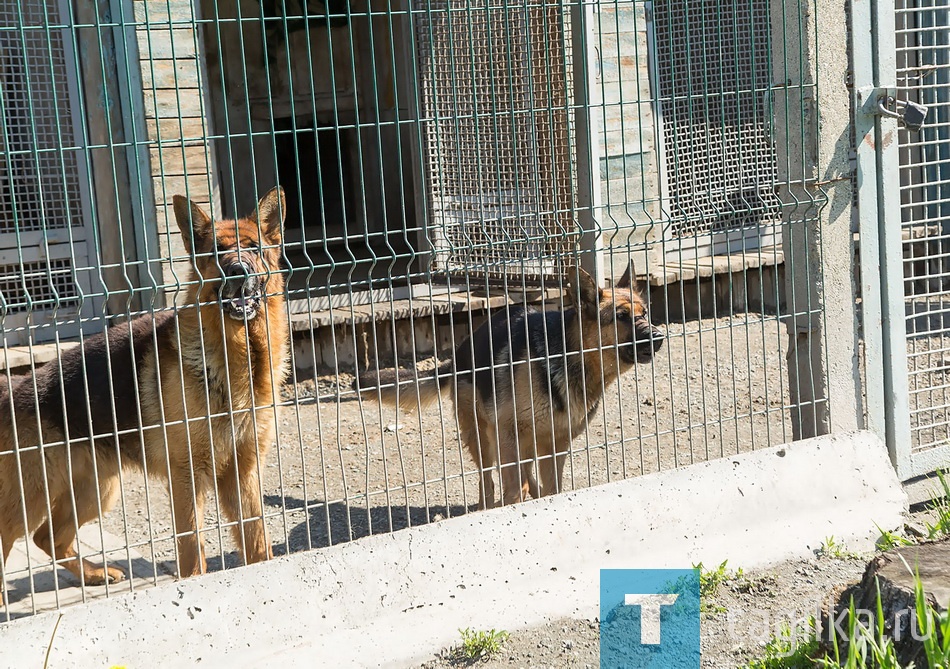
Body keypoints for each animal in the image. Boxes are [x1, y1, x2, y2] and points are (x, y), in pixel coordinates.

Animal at [0, 187, 290, 584]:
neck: (236, 356)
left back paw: (95, 574)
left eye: (254, 249)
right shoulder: (187, 476)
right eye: (217, 252)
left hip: (97, 491)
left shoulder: (243, 471)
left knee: (49, 537)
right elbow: (192, 547)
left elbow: (257, 540)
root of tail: (13, 389)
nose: (238, 271)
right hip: (31, 499)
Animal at [356, 260, 660, 506]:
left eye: (645, 313)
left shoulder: (556, 442)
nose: (658, 337)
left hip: (523, 439)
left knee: (524, 476)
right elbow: (514, 485)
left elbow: (552, 487)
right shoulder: (508, 431)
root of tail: (459, 353)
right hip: (483, 436)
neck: (569, 358)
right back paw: (489, 505)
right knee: (488, 481)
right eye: (620, 317)